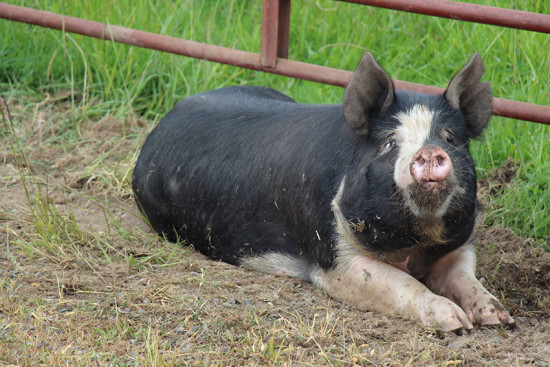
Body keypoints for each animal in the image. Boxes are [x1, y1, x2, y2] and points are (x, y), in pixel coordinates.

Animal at [133, 53, 516, 332]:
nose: (430, 151)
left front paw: (499, 318)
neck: (415, 244)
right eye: (389, 143)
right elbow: (401, 283)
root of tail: (170, 114)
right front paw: (456, 323)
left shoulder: (461, 244)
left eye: (451, 138)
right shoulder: (335, 260)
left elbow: (464, 277)